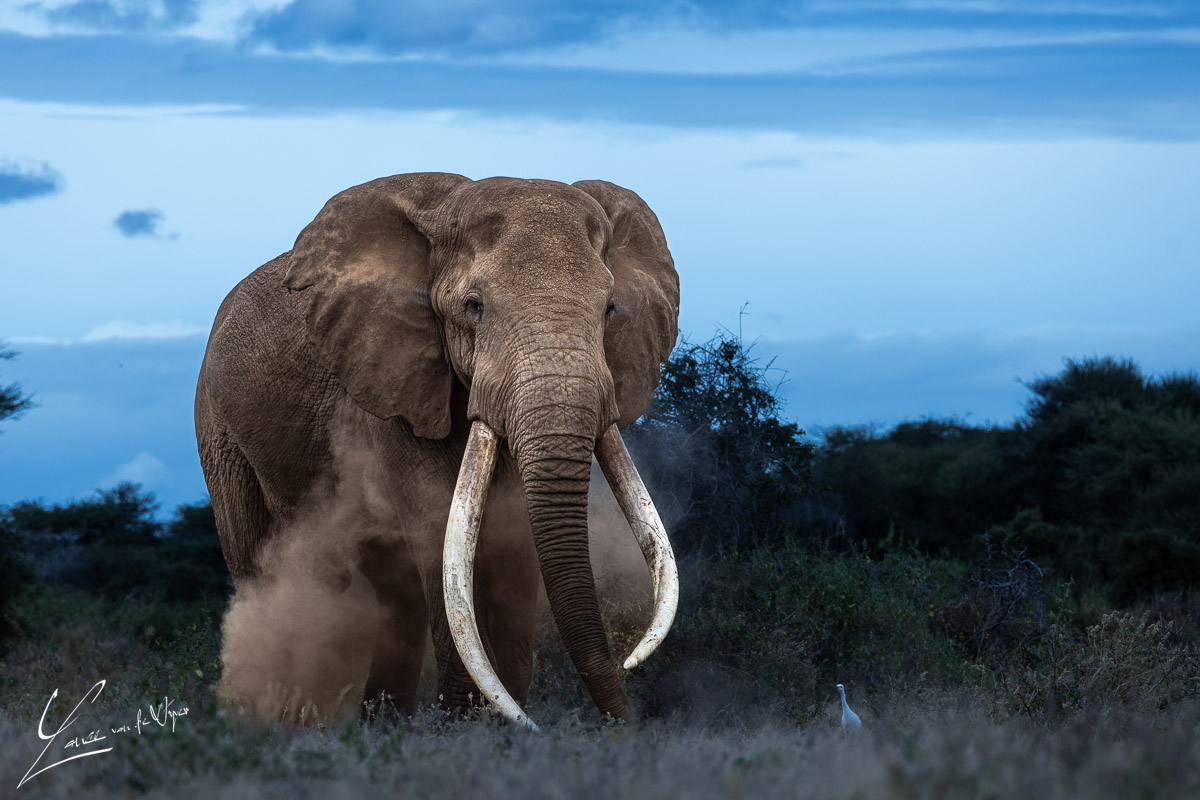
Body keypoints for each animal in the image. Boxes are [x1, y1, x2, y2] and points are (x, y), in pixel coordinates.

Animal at [195, 172, 680, 728]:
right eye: (474, 306)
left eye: (609, 310)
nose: (621, 717)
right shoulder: (387, 386)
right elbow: (436, 525)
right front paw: (463, 727)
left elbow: (513, 535)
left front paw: (498, 726)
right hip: (219, 434)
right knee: (266, 569)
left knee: (394, 589)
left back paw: (382, 723)